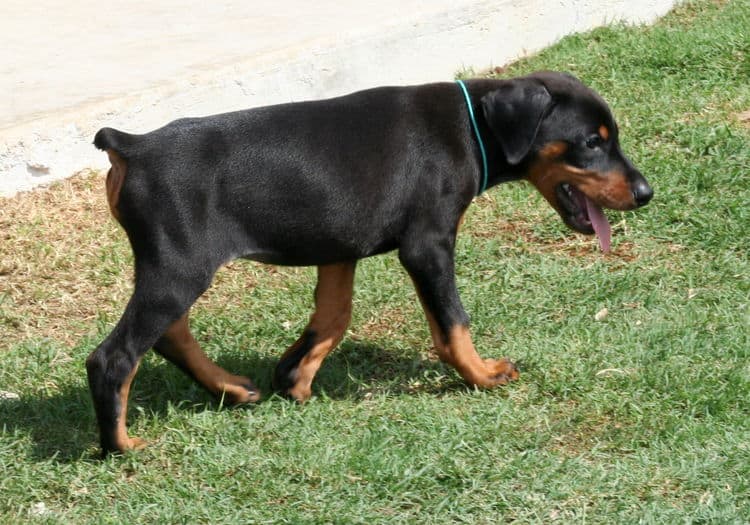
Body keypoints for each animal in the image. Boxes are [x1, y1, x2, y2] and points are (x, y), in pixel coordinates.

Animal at [86, 71, 652, 452]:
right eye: (590, 142)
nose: (647, 193)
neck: (470, 126)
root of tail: (131, 147)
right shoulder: (428, 244)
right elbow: (452, 323)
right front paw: (481, 374)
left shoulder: (340, 245)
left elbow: (334, 316)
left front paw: (296, 378)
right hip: (179, 266)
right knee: (115, 356)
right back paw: (121, 445)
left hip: (174, 266)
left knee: (169, 334)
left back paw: (232, 389)